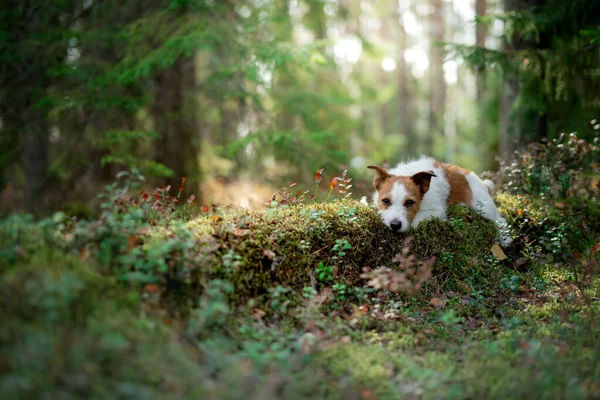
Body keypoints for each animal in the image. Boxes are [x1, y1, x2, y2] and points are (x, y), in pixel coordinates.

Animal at [368, 156, 512, 247]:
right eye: (385, 201)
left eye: (409, 202)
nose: (395, 225)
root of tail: (483, 183)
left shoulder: (436, 211)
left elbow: (417, 220)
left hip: (482, 206)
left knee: (500, 220)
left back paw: (505, 238)